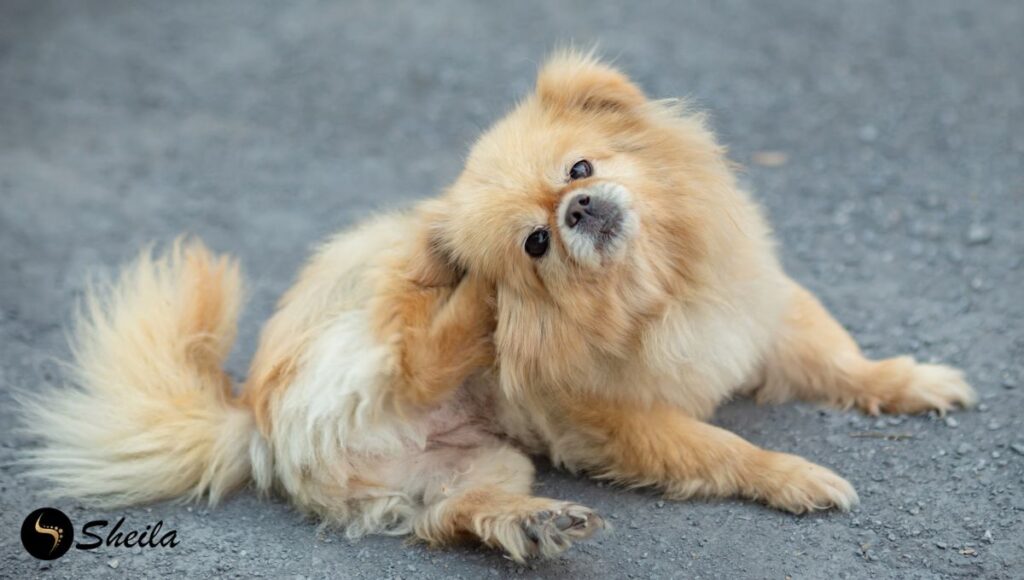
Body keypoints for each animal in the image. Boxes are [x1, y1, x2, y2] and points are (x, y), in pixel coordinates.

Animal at [19, 51, 970, 565]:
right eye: (536, 245)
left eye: (582, 169)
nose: (578, 210)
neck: (654, 291)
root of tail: (250, 417)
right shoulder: (622, 422)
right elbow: (725, 448)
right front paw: (798, 478)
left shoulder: (763, 315)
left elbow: (843, 360)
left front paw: (913, 381)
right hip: (368, 328)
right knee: (413, 349)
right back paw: (478, 308)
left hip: (482, 463)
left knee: (452, 517)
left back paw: (532, 523)